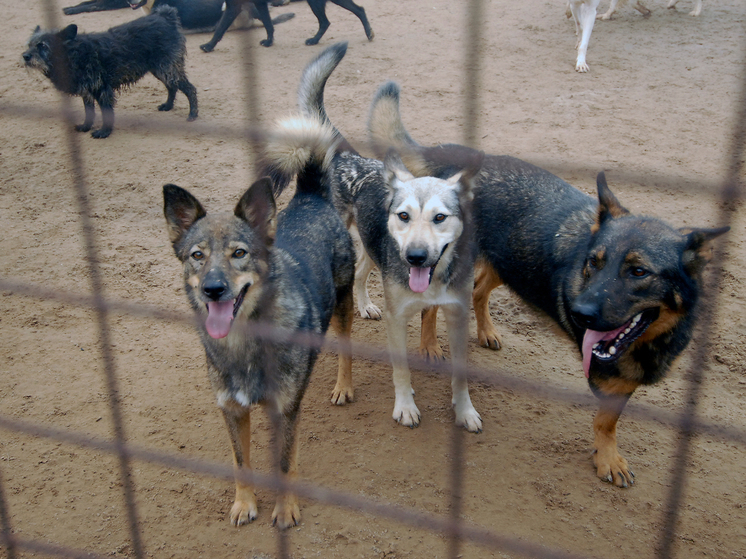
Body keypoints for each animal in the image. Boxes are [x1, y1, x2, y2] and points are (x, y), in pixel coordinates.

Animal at [22, 6, 196, 139]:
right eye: (29, 45)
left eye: (43, 46)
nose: (25, 56)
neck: (73, 55)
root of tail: (166, 16)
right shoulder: (87, 92)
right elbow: (89, 113)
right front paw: (86, 126)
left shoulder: (102, 90)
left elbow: (106, 113)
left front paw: (104, 132)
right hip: (161, 70)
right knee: (172, 87)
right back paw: (168, 106)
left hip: (167, 68)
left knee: (190, 89)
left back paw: (193, 115)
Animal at [198, 0, 372, 52]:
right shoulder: (258, 4)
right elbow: (268, 24)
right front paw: (269, 42)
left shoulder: (234, 6)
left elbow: (220, 28)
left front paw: (208, 46)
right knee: (326, 21)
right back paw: (314, 40)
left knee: (359, 10)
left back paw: (369, 33)